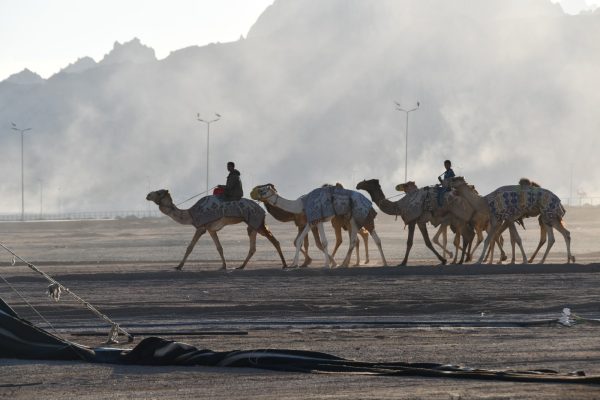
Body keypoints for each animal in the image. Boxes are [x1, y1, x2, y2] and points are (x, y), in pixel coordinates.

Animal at [145, 189, 286, 270]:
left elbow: (190, 247)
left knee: (273, 241)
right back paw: (241, 266)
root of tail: (262, 209)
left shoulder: (201, 227)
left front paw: (179, 266)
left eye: (159, 192)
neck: (190, 213)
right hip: (254, 224)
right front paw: (223, 266)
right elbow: (219, 247)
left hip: (256, 221)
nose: (147, 195)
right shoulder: (211, 229)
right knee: (255, 246)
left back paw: (284, 264)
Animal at [250, 184, 386, 268]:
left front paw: (327, 265)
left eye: (262, 190)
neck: (301, 204)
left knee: (370, 238)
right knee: (361, 239)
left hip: (359, 215)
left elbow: (324, 242)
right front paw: (294, 264)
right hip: (353, 217)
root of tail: (368, 201)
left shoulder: (318, 218)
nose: (252, 193)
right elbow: (299, 240)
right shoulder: (311, 220)